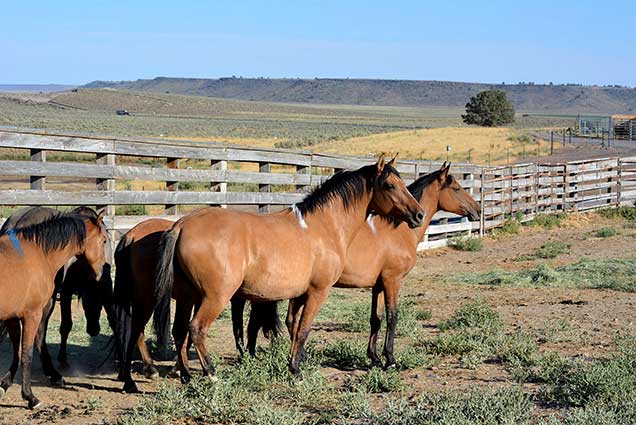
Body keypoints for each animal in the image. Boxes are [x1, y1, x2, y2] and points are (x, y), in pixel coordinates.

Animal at [148, 154, 424, 390]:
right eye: (389, 185)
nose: (419, 215)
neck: (324, 226)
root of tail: (182, 225)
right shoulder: (318, 292)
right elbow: (303, 329)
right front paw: (296, 371)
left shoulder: (300, 294)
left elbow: (294, 327)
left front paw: (295, 363)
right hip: (216, 296)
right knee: (196, 329)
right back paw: (212, 374)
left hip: (189, 296)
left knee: (180, 330)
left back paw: (186, 375)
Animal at [238, 161, 482, 366]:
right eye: (457, 188)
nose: (478, 210)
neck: (397, 230)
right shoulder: (392, 280)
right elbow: (393, 317)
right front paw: (390, 359)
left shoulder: (378, 285)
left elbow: (376, 319)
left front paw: (373, 357)